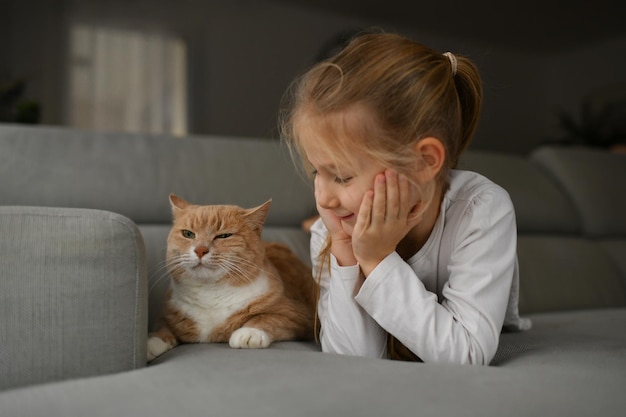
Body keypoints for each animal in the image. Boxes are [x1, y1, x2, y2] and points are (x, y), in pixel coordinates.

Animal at [147, 193, 316, 360]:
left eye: (224, 236)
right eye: (188, 234)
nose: (200, 250)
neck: (210, 293)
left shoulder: (295, 315)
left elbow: (266, 318)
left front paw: (248, 333)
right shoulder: (168, 314)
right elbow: (162, 328)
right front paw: (151, 343)